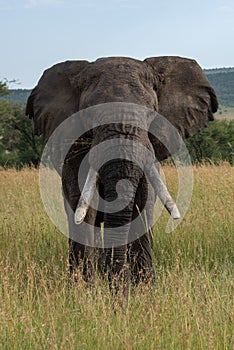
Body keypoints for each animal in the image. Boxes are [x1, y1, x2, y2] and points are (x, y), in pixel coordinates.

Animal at [25, 57, 218, 292]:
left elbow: (143, 204)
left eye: (151, 113)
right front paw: (86, 291)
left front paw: (144, 290)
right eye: (89, 115)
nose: (117, 291)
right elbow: (85, 211)